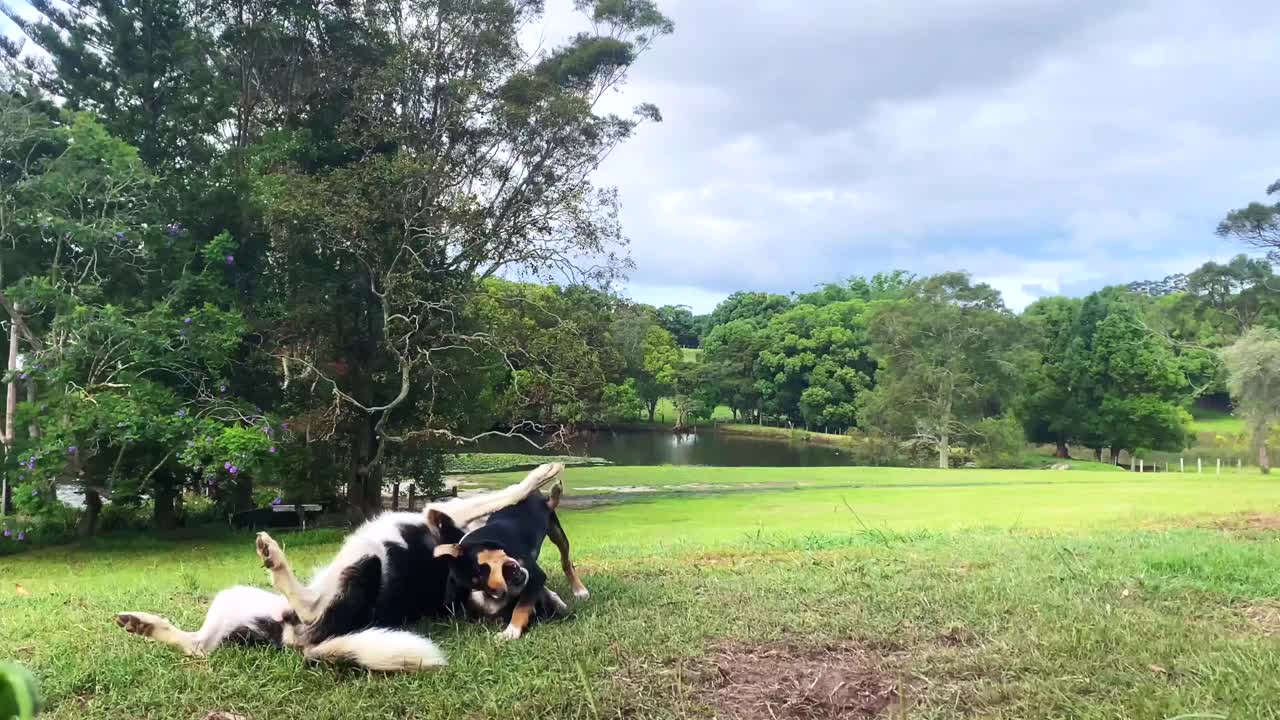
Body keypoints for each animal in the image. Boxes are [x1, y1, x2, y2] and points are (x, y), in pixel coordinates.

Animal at [430, 479, 588, 635]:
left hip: (555, 530)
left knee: (565, 559)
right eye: (479, 586)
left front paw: (512, 631)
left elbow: (522, 606)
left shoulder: (536, 575)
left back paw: (580, 590)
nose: (512, 582)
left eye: (482, 570)